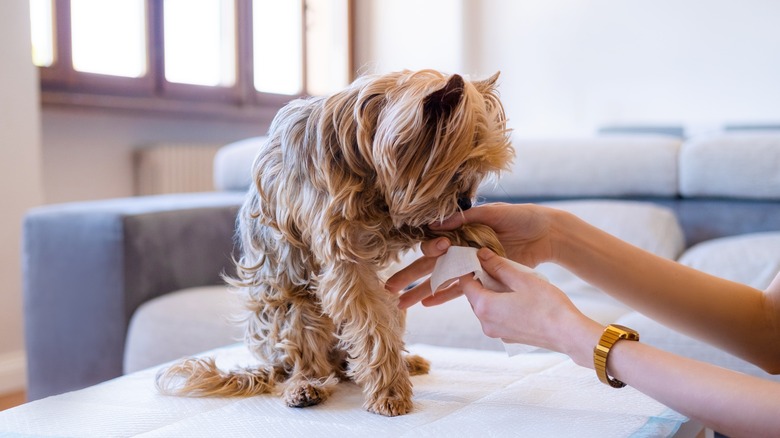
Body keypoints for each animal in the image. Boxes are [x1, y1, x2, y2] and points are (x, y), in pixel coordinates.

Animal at [155, 70, 516, 416]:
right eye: (458, 170)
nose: (466, 204)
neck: (365, 151)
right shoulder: (345, 254)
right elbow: (371, 326)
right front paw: (389, 392)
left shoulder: (392, 215)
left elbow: (413, 222)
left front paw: (480, 236)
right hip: (293, 309)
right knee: (309, 360)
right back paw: (306, 386)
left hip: (389, 306)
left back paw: (405, 362)